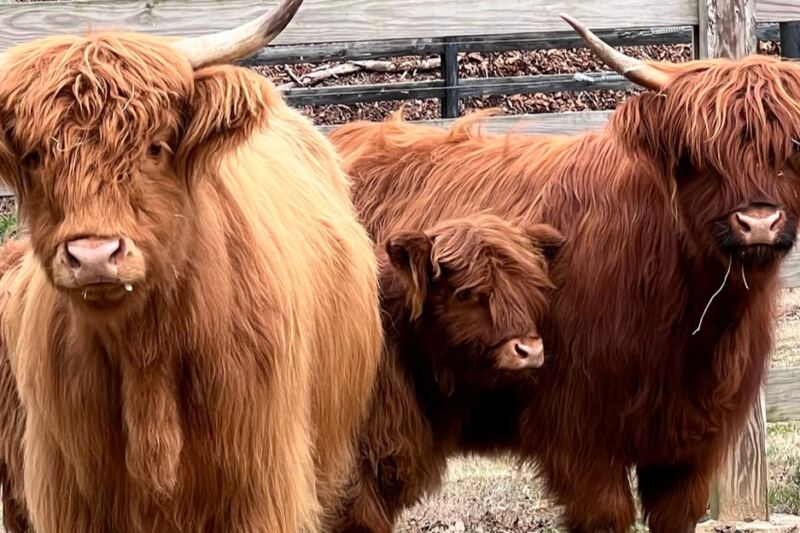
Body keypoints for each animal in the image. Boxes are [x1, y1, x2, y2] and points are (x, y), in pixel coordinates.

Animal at [0, 0, 383, 531]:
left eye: (155, 147)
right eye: (35, 156)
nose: (95, 256)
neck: (146, 357)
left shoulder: (262, 489)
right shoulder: (71, 499)